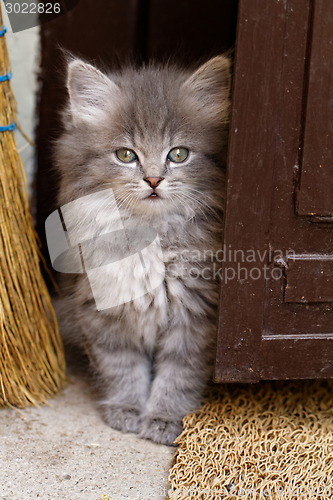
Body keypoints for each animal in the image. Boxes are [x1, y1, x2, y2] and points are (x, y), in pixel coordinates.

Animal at [53, 55, 231, 446]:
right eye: (125, 155)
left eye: (178, 154)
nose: (152, 179)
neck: (150, 236)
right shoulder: (102, 312)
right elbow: (123, 367)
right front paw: (126, 409)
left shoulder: (196, 316)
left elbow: (178, 374)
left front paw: (163, 418)